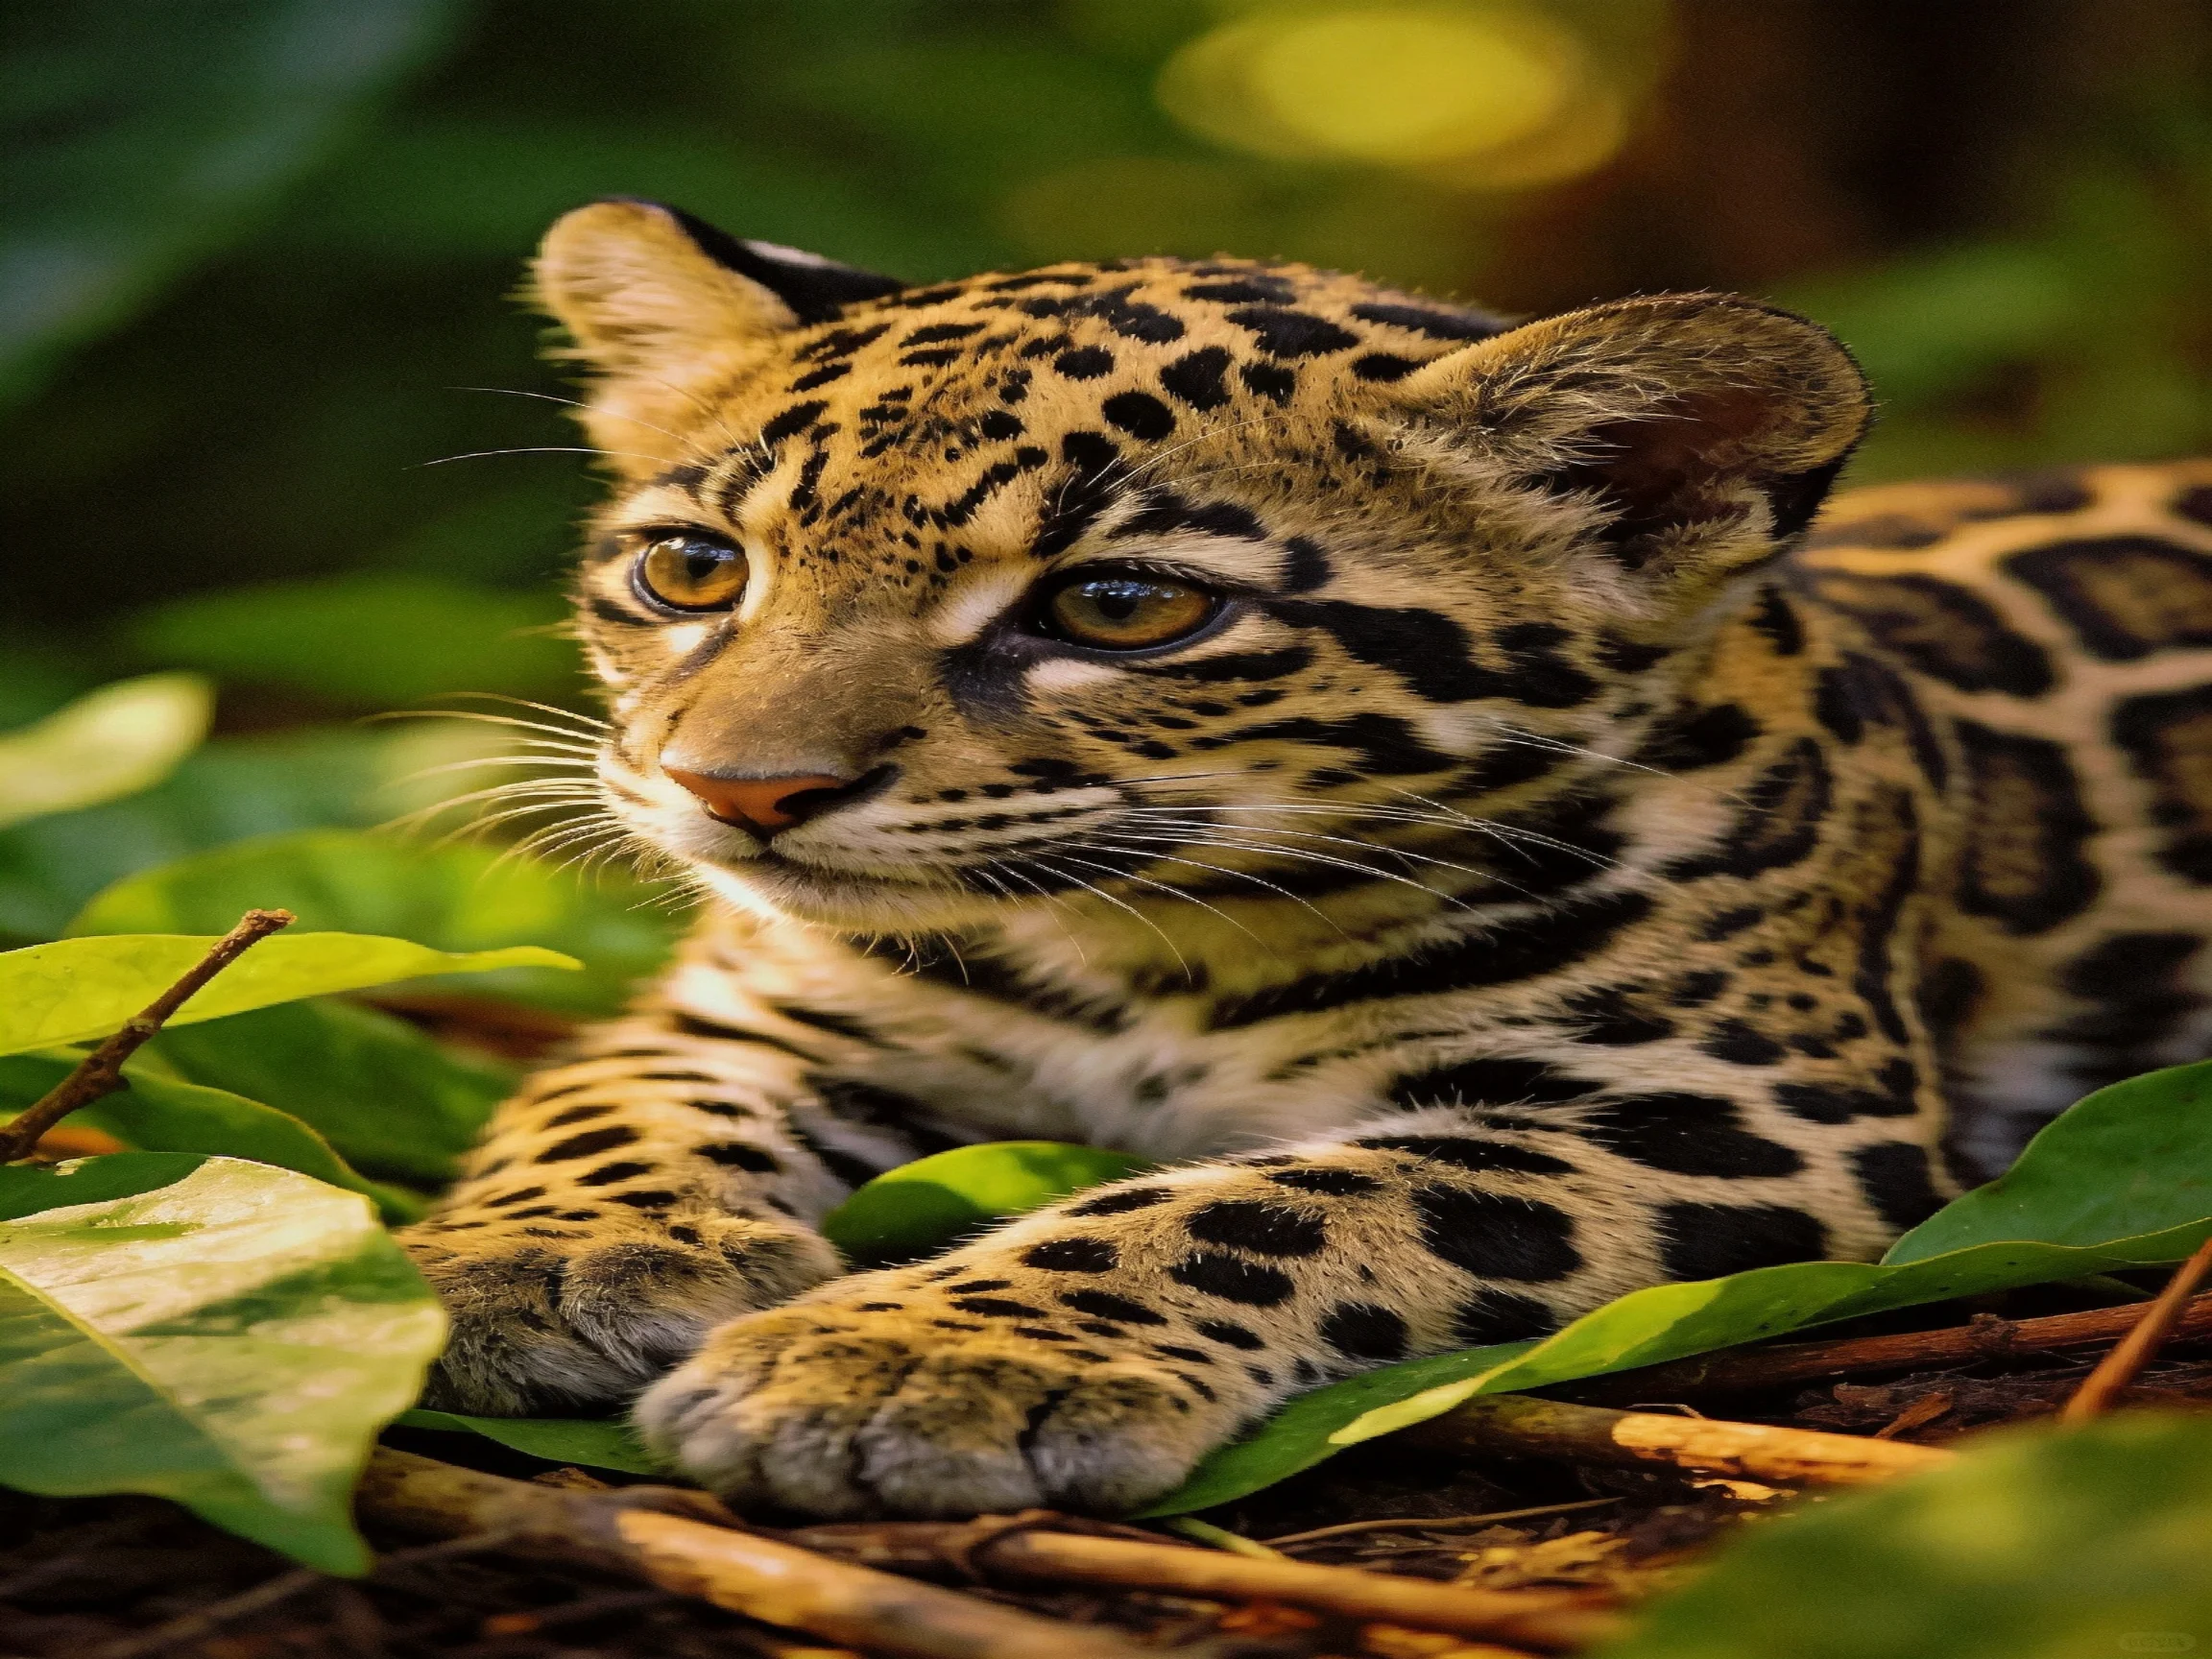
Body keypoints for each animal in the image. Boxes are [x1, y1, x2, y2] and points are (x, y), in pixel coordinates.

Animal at [398, 196, 2212, 1520]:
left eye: (1121, 605)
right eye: (693, 568)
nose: (736, 790)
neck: (1132, 955)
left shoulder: (1745, 1109)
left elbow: (1264, 1199)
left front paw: (909, 1363)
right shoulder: (751, 1010)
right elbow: (609, 1102)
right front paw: (522, 1261)